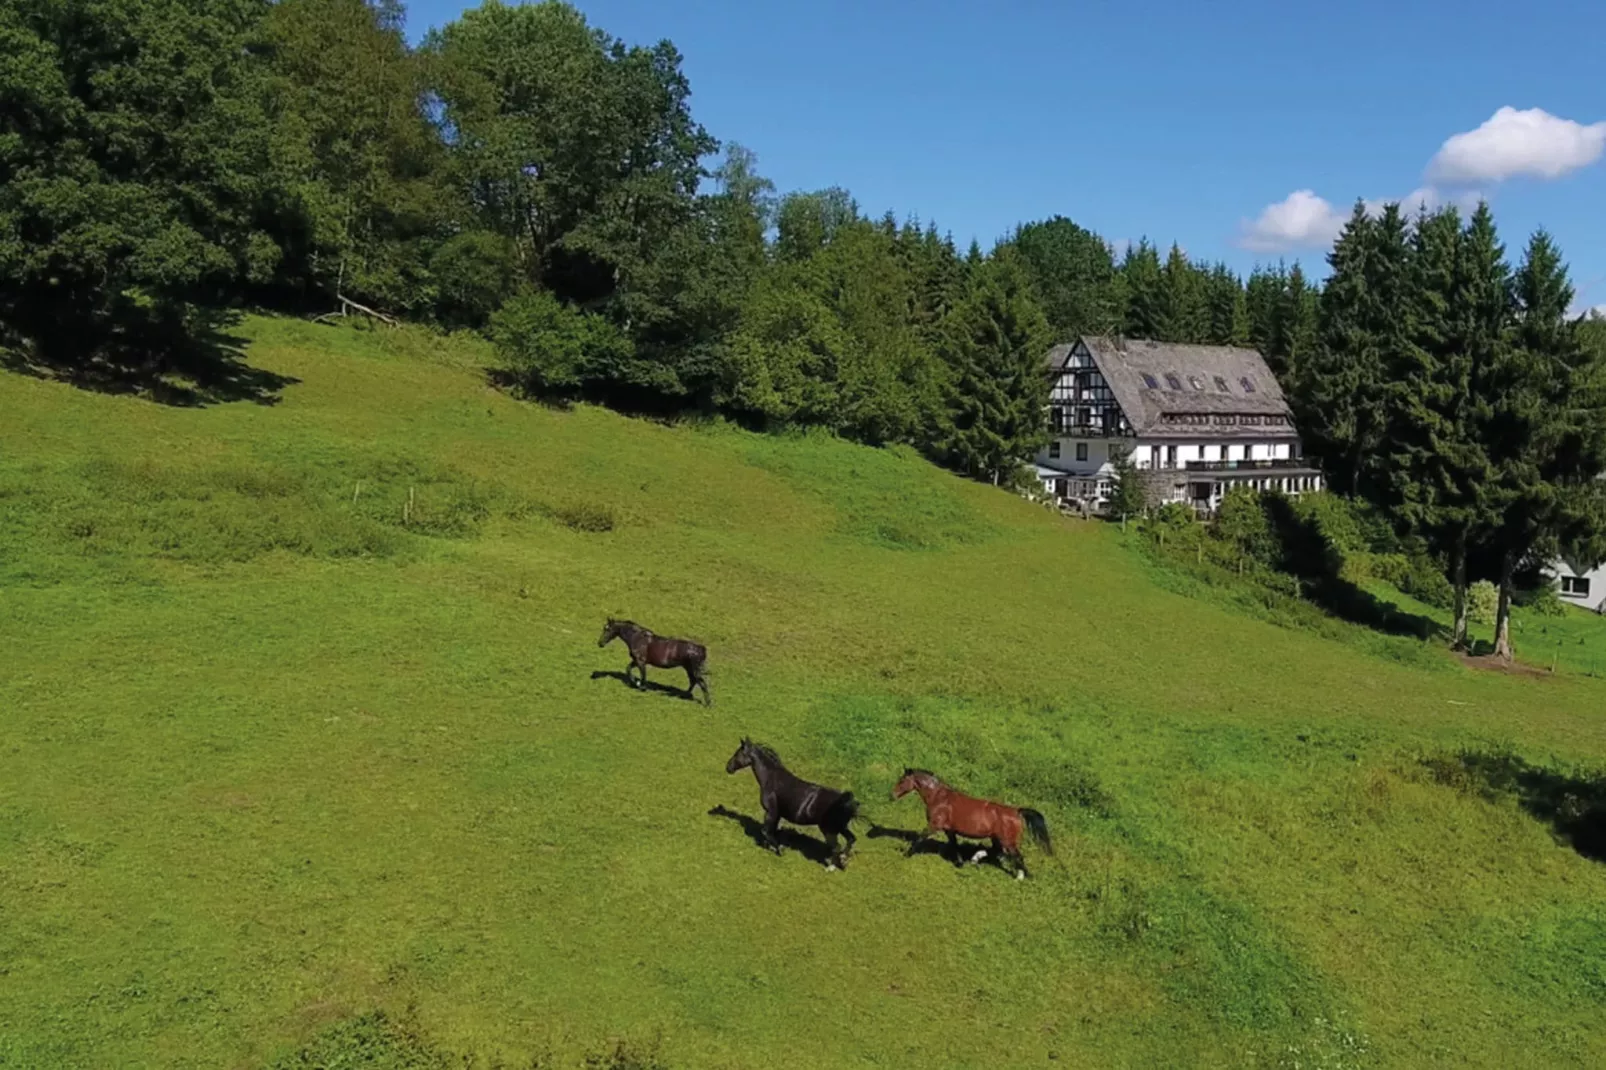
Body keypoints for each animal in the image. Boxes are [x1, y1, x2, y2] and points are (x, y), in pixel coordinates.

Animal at [725, 742, 860, 867]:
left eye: (737, 754)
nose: (728, 767)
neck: (771, 778)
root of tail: (848, 802)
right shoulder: (777, 814)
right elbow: (772, 830)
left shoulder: (771, 812)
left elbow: (766, 831)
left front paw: (780, 849)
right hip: (840, 827)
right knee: (851, 839)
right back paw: (843, 860)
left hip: (829, 830)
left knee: (837, 846)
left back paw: (831, 866)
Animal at [892, 767, 1053, 873]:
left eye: (902, 781)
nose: (891, 795)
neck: (939, 798)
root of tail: (1016, 811)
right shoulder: (949, 830)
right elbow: (954, 845)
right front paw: (960, 863)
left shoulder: (934, 825)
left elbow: (920, 838)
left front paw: (905, 854)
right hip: (996, 838)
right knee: (997, 851)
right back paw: (975, 859)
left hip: (1008, 840)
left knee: (1017, 856)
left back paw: (1022, 876)